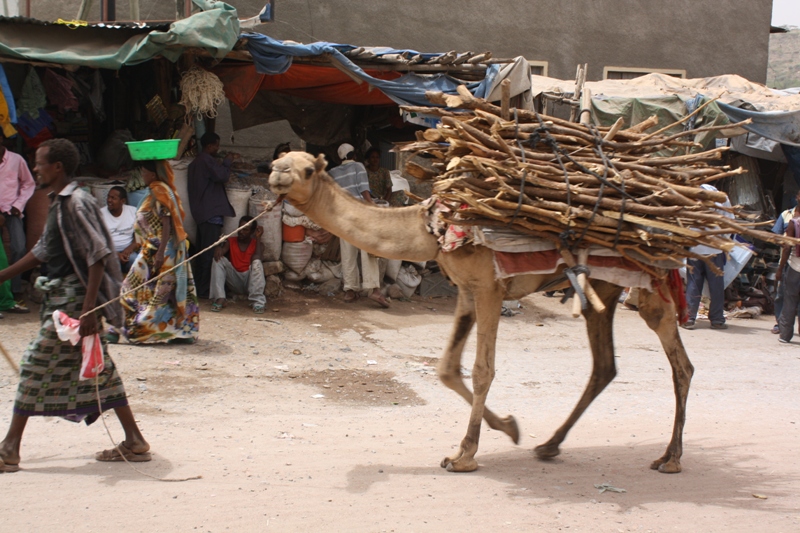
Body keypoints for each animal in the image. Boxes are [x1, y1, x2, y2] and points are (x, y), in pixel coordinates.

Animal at [268, 152, 692, 472]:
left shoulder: (490, 287)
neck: (433, 227)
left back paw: (670, 458)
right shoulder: (466, 289)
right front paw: (509, 428)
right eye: (281, 159)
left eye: (307, 169)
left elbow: (482, 369)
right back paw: (550, 445)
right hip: (604, 286)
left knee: (679, 363)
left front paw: (464, 455)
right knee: (606, 365)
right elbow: (447, 369)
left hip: (648, 280)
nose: (275, 173)